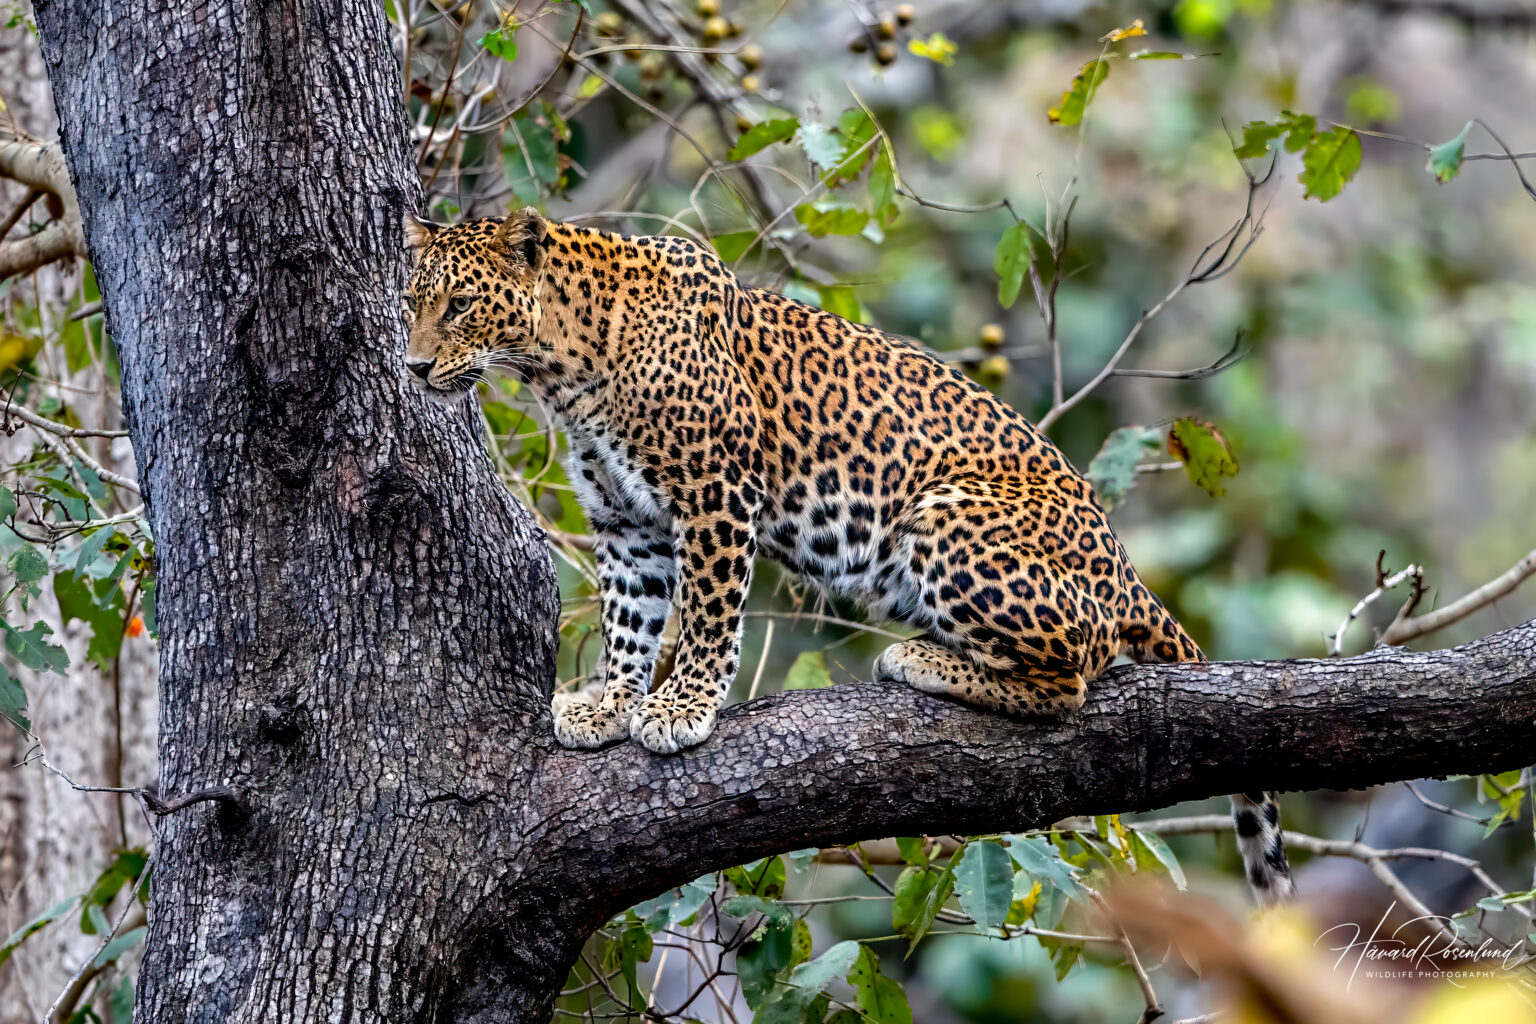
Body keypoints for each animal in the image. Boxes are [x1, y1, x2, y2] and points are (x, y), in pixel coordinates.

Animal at [402, 208, 1295, 906]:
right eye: (412, 303)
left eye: (461, 305)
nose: (411, 365)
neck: (563, 363)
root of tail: (1127, 568)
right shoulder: (628, 521)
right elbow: (632, 616)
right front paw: (610, 702)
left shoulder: (717, 493)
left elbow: (706, 615)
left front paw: (682, 709)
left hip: (944, 519)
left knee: (1071, 676)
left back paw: (922, 661)